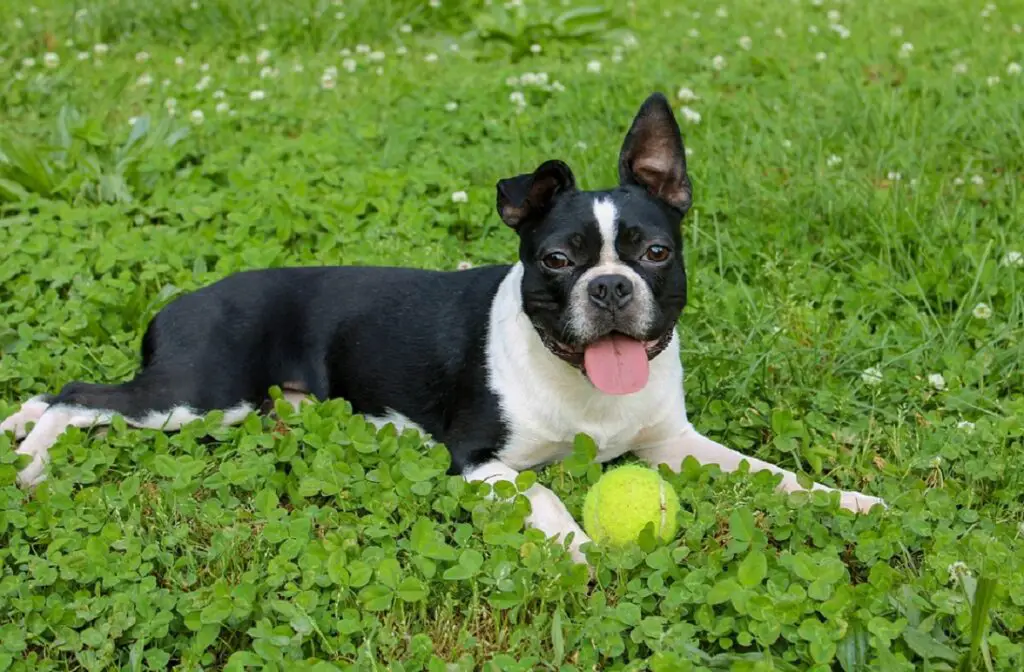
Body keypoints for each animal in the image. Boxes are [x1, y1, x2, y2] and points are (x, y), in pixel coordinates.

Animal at [0, 93, 884, 565]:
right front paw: (578, 551)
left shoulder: (673, 443)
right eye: (557, 260)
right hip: (198, 394)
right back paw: (34, 460)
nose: (608, 287)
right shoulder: (480, 461)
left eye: (656, 253)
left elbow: (769, 473)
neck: (583, 388)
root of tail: (182, 299)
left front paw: (851, 500)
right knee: (77, 393)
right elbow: (549, 496)